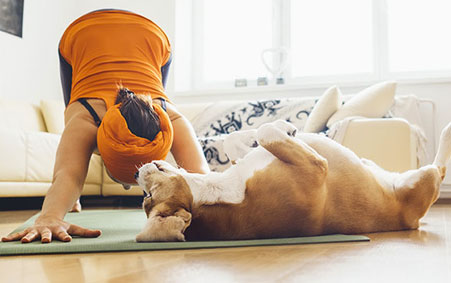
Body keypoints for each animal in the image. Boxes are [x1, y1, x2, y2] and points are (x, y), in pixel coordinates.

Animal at [134, 120, 451, 242]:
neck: (221, 191)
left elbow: (240, 139)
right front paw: (282, 127)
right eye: (147, 198)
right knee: (440, 168)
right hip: (425, 179)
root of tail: (413, 221)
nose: (136, 173)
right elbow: (265, 132)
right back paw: (447, 130)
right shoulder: (316, 168)